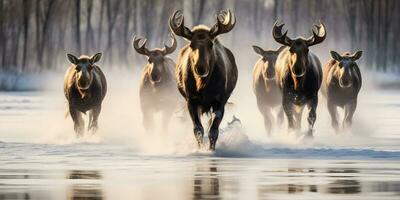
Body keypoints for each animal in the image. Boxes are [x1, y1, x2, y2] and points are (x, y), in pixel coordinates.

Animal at [169, 9, 238, 150]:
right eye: (191, 44)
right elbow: (198, 130)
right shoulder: (191, 100)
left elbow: (213, 131)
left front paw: (211, 149)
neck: (202, 84)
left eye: (211, 44)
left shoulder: (220, 101)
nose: (200, 68)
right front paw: (200, 148)